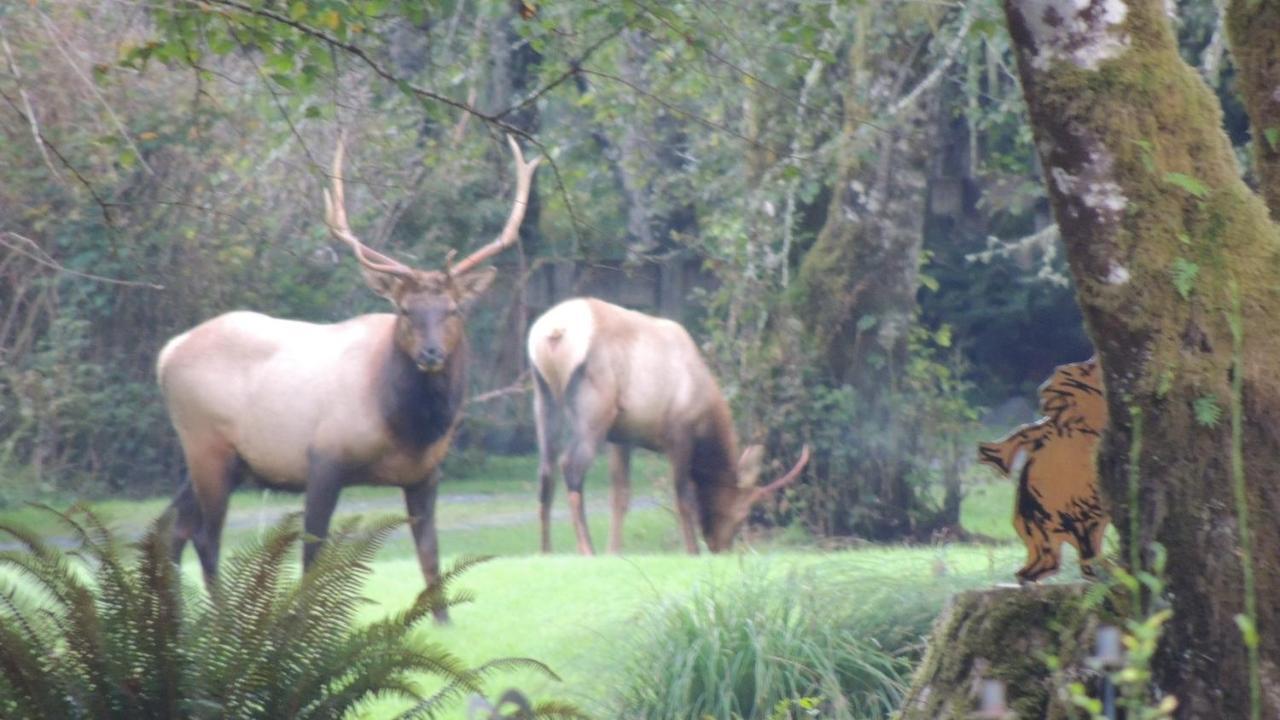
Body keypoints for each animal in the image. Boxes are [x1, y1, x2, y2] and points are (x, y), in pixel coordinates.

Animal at [158, 134, 540, 617]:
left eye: (453, 309)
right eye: (405, 310)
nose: (431, 353)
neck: (408, 427)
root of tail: (167, 353)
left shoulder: (426, 474)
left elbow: (430, 553)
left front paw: (443, 620)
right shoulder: (323, 457)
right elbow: (312, 550)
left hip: (219, 459)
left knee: (174, 525)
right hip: (208, 445)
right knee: (205, 535)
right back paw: (221, 615)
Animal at [522, 294, 803, 550]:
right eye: (742, 515)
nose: (720, 548)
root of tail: (552, 333)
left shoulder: (622, 436)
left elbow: (620, 496)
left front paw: (614, 552)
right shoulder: (679, 434)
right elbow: (684, 498)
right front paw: (693, 552)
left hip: (544, 397)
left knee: (546, 472)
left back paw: (546, 551)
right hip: (594, 410)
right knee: (570, 466)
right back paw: (587, 550)